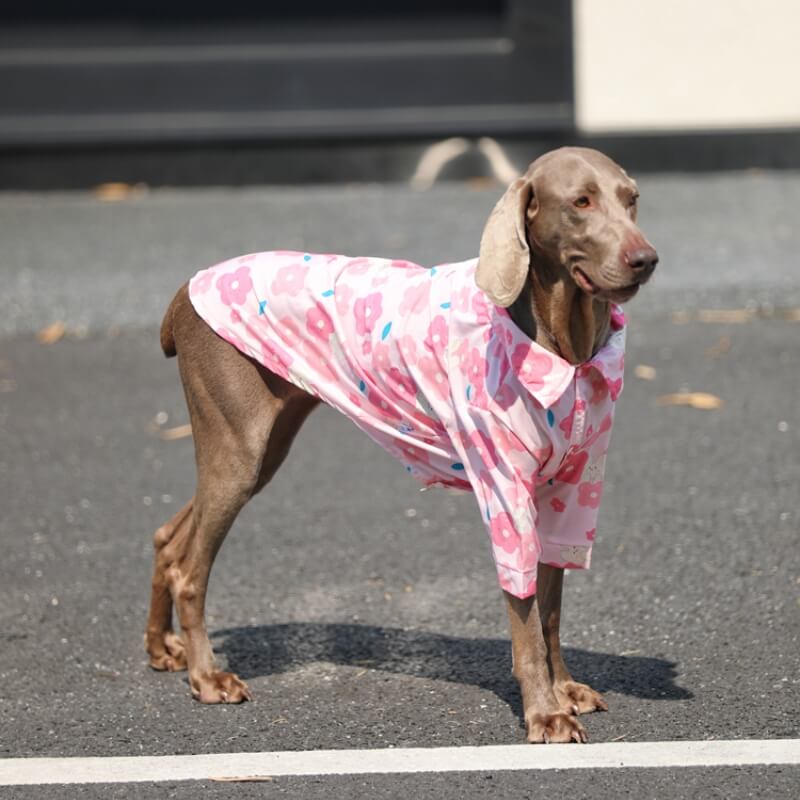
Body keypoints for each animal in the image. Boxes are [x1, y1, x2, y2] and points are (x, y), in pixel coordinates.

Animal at [147, 145, 660, 744]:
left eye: (632, 199)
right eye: (581, 201)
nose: (646, 258)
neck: (561, 345)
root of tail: (186, 289)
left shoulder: (567, 491)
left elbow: (551, 612)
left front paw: (565, 690)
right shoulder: (506, 492)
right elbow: (527, 618)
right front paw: (544, 713)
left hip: (258, 446)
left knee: (168, 539)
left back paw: (162, 650)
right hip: (239, 447)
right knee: (190, 568)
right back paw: (207, 677)